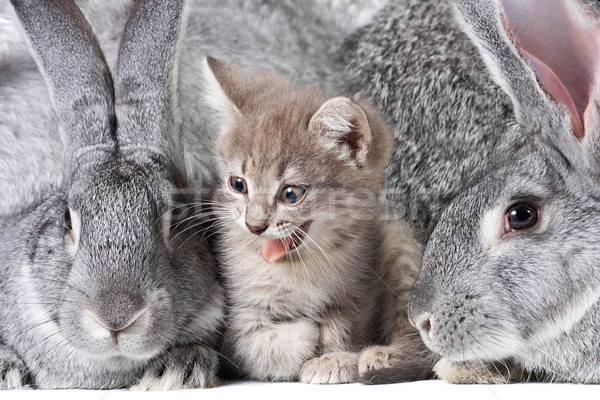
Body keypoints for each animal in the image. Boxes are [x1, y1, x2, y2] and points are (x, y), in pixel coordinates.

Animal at [204, 57, 428, 384]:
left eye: (291, 194)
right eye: (238, 184)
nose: (254, 225)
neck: (295, 267)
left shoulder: (357, 290)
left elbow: (343, 325)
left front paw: (333, 357)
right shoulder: (235, 318)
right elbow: (260, 344)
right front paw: (306, 333)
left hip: (400, 246)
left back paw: (388, 355)